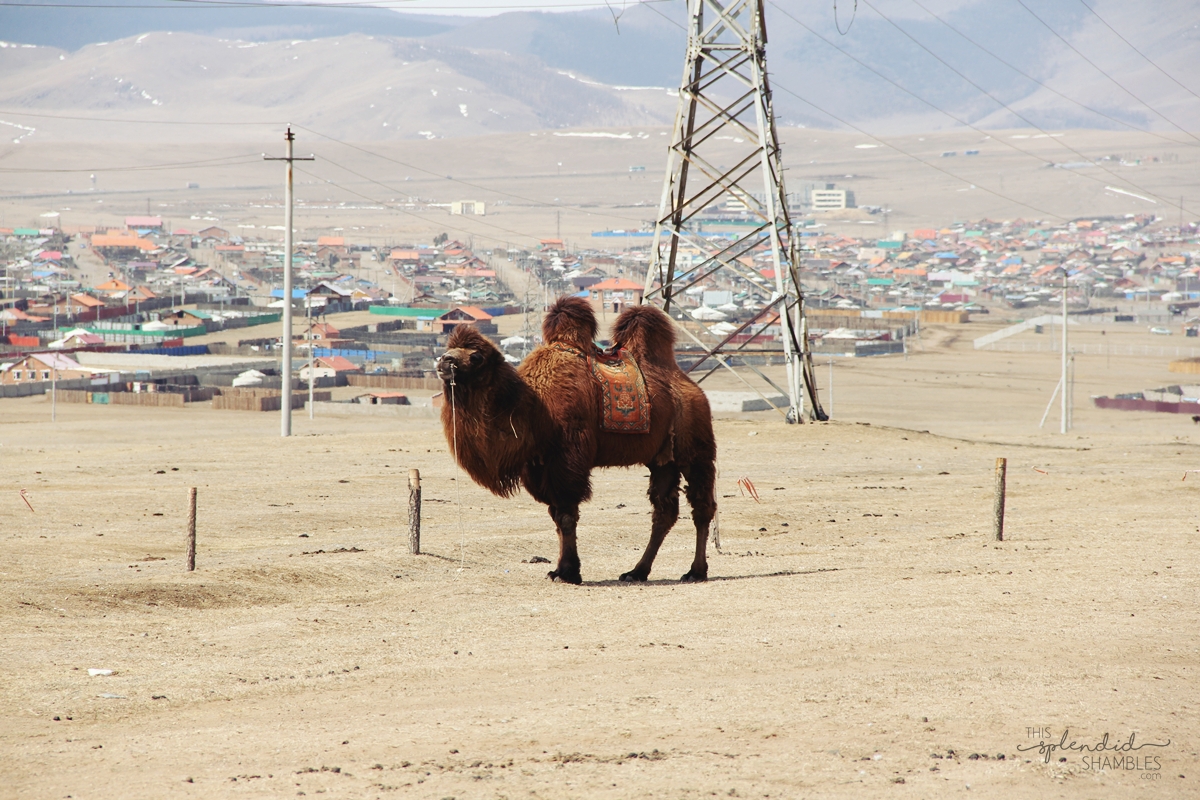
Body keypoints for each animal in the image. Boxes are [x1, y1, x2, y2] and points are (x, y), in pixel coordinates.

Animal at [435, 296, 716, 584]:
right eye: (448, 350)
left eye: (476, 356)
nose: (445, 361)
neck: (536, 407)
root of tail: (690, 385)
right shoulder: (539, 465)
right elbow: (556, 516)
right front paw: (560, 569)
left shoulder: (568, 458)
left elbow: (566, 515)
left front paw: (568, 572)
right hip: (662, 459)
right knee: (664, 511)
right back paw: (636, 572)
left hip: (694, 444)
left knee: (702, 504)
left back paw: (695, 571)